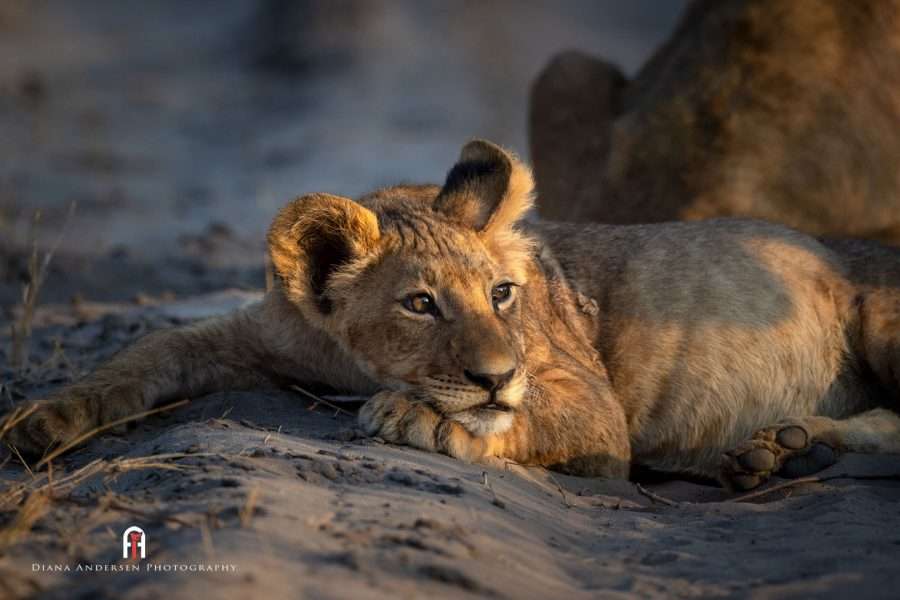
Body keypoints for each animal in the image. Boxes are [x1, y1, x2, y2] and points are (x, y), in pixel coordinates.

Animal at [5, 140, 900, 490]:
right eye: (419, 304)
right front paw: (43, 421)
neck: (351, 359)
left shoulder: (592, 402)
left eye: (503, 293)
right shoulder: (258, 334)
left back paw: (780, 450)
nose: (496, 374)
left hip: (881, 314)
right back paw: (778, 451)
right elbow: (146, 350)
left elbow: (516, 421)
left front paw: (424, 419)